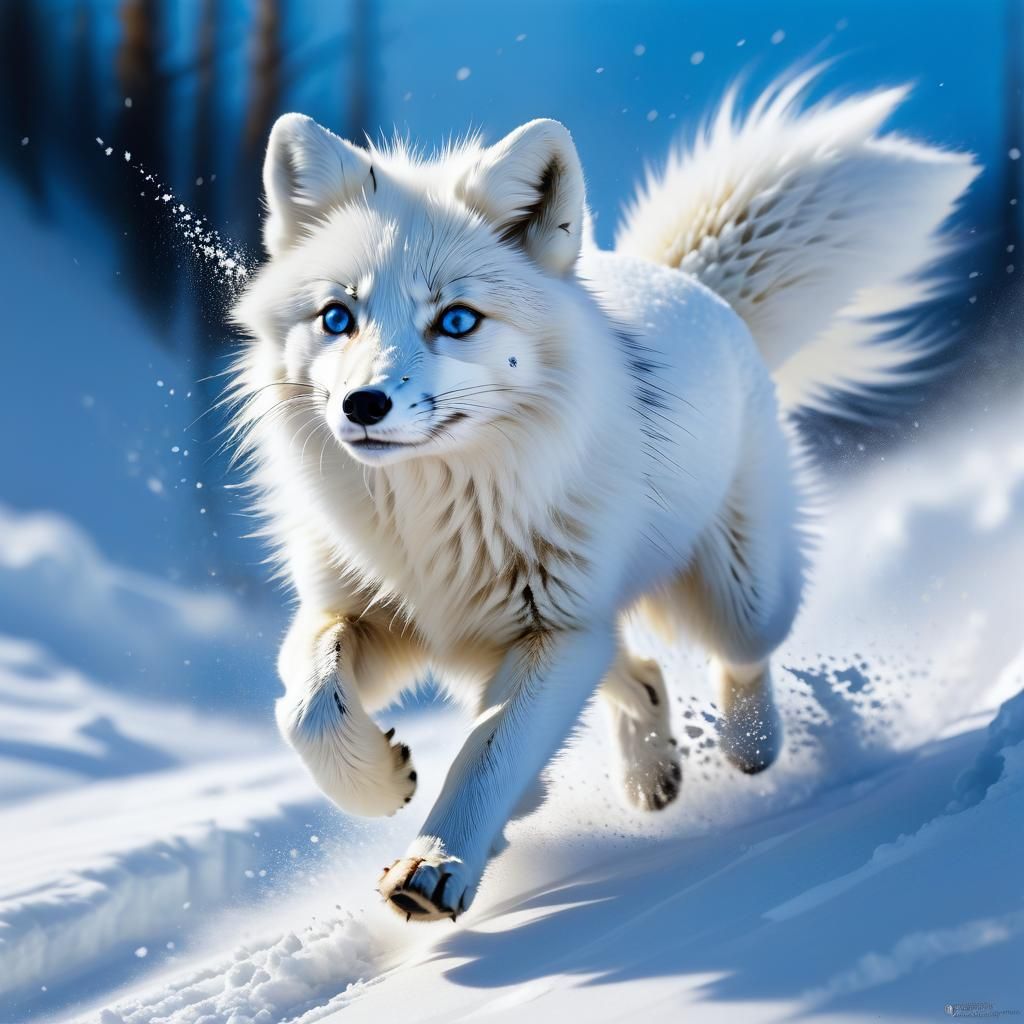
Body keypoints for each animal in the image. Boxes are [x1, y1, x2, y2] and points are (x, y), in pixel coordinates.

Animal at [229, 70, 977, 923]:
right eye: (336, 317)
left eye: (456, 319)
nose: (363, 405)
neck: (433, 516)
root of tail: (689, 283)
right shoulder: (365, 614)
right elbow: (306, 706)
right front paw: (382, 784)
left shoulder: (551, 631)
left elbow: (489, 755)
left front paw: (435, 864)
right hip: (522, 640)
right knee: (637, 672)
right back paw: (647, 776)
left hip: (735, 595)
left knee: (737, 655)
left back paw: (750, 747)